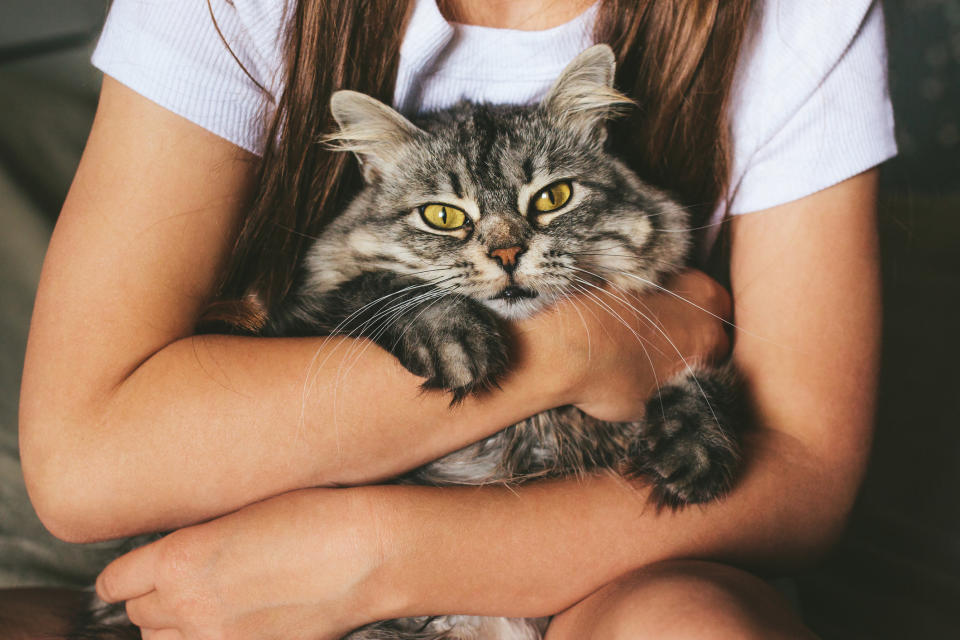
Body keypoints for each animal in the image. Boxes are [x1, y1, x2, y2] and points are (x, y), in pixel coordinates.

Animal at [73, 45, 744, 640]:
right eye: (443, 216)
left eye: (553, 198)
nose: (507, 254)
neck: (532, 425)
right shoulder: (302, 314)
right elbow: (383, 288)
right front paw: (455, 337)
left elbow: (711, 384)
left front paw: (693, 447)